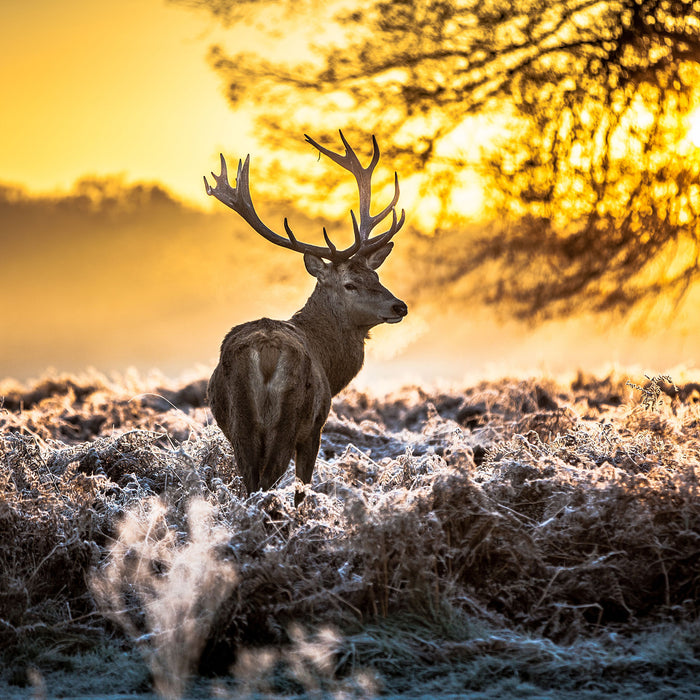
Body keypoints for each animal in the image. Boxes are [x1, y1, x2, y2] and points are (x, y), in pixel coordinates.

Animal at [202, 130, 408, 504]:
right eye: (350, 284)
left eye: (376, 276)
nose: (400, 306)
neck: (330, 363)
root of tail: (265, 352)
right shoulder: (316, 426)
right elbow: (303, 487)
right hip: (290, 418)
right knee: (268, 479)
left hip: (240, 423)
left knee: (249, 481)